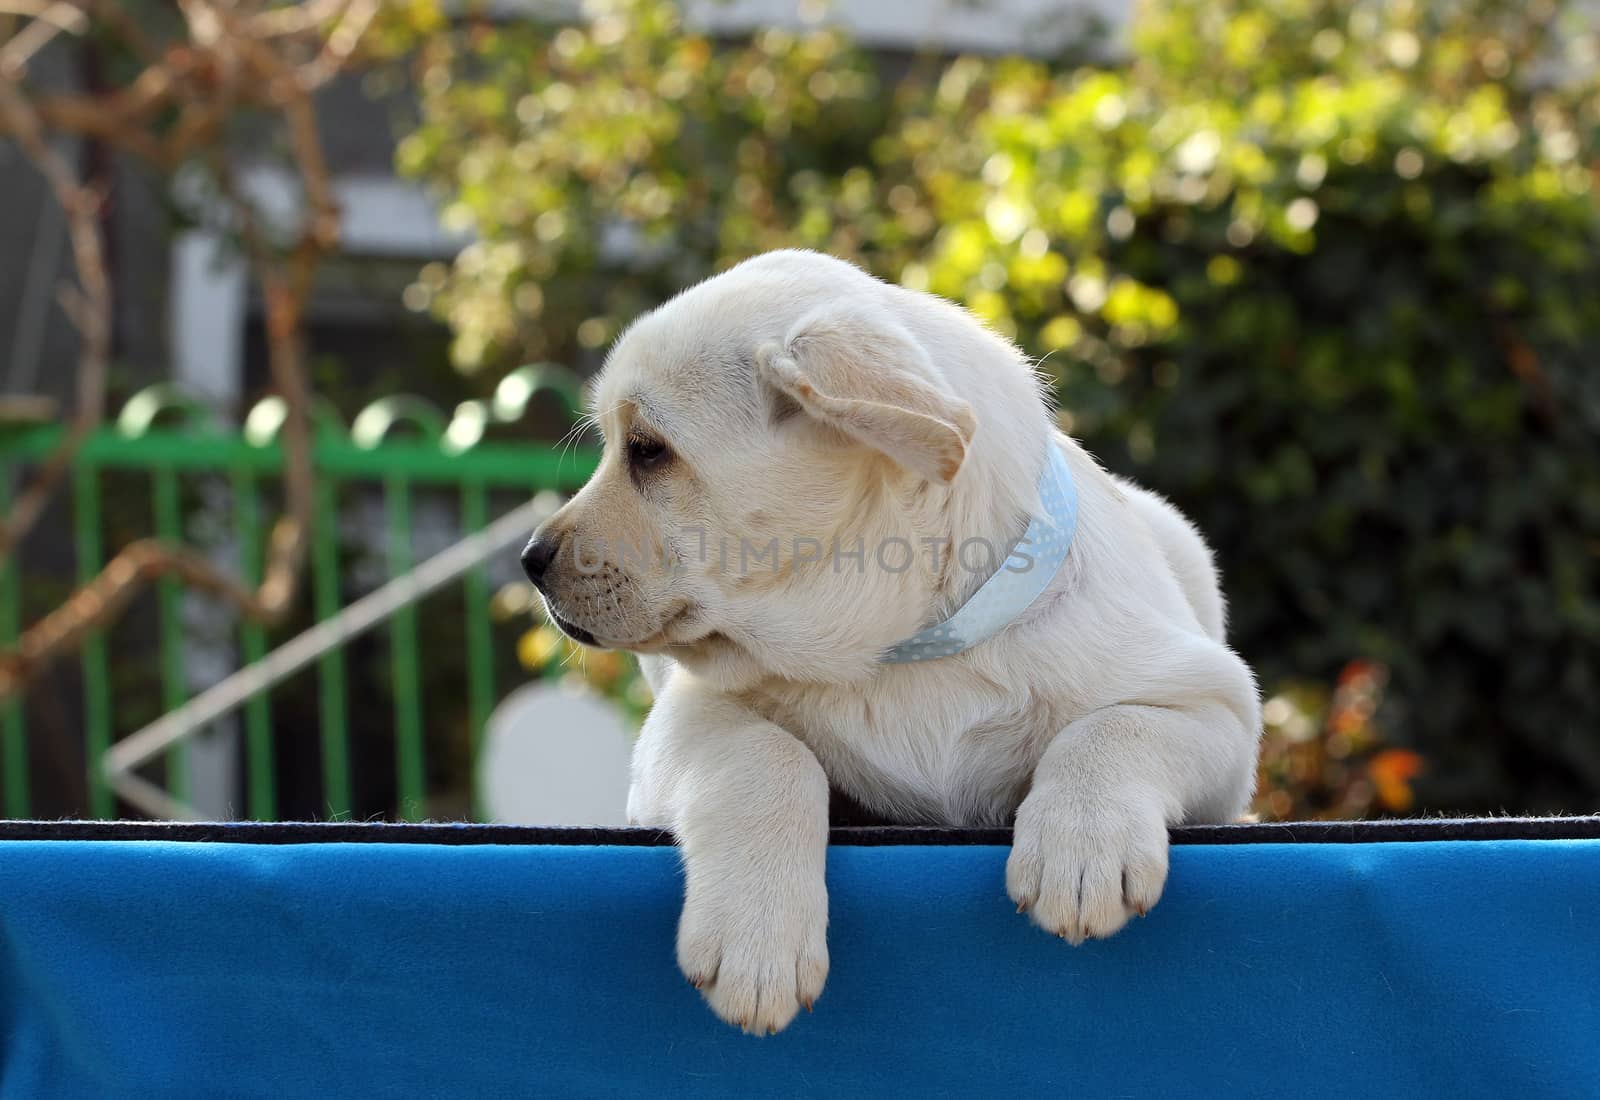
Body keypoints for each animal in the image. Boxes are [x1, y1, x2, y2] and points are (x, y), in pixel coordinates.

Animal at [524, 249, 1260, 1029]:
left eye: (648, 452)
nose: (531, 562)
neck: (898, 646)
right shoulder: (687, 717)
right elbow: (767, 755)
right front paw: (758, 939)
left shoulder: (1218, 707)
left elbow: (1111, 730)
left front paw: (1082, 848)